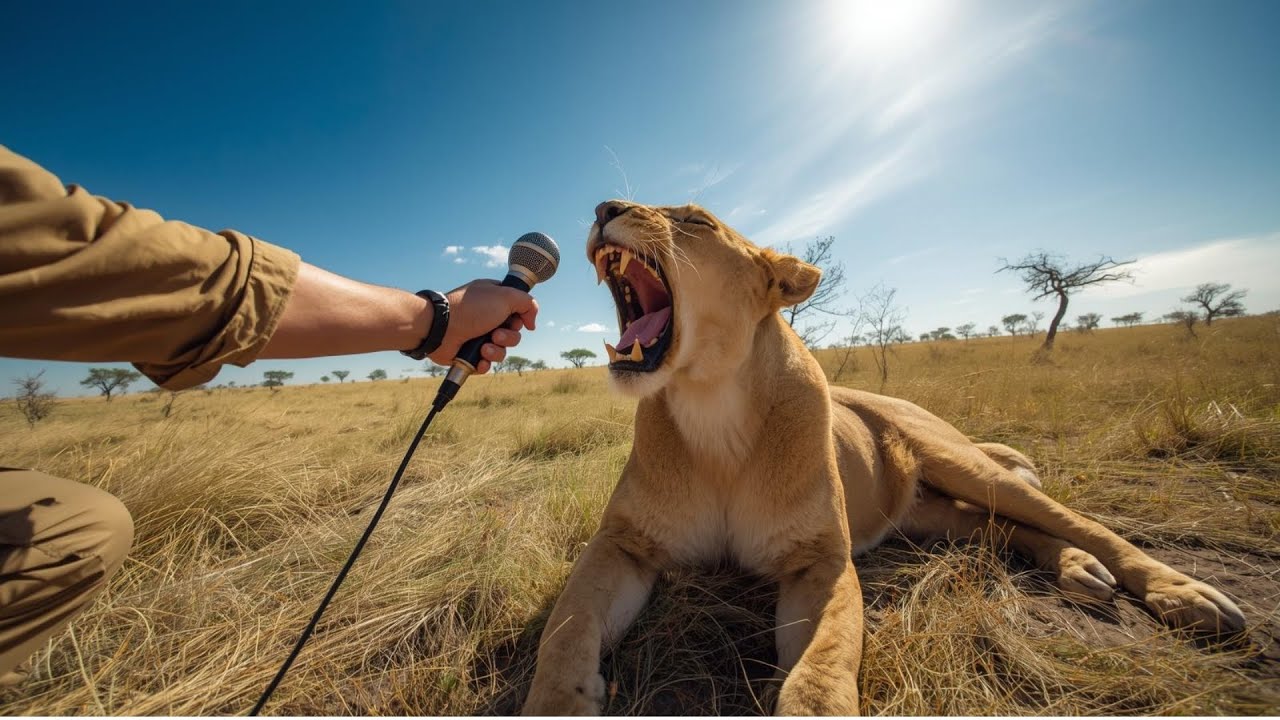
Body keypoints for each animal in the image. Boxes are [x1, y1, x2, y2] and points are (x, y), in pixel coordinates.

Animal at [521, 200, 1246, 715]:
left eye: (695, 221)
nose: (602, 207)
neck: (712, 404)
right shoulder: (623, 544)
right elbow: (564, 634)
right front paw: (560, 701)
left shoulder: (821, 560)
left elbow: (820, 671)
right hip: (928, 516)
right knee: (999, 529)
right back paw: (1074, 568)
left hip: (963, 463)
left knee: (1073, 520)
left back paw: (1185, 595)